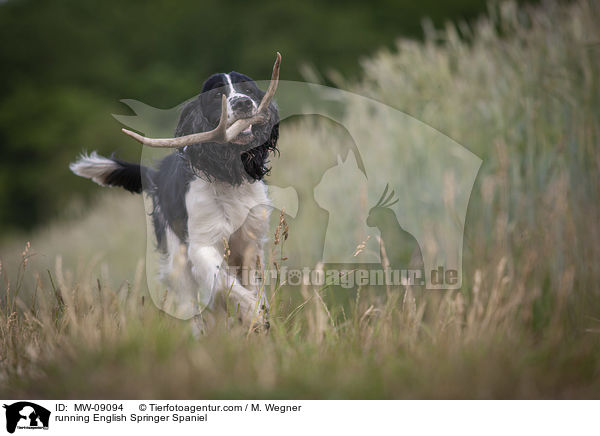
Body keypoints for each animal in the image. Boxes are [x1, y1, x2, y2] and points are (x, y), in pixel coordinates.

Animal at [69, 54, 282, 330]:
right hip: (177, 259)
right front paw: (254, 315)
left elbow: (251, 287)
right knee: (192, 308)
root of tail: (155, 175)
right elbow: (225, 285)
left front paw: (258, 319)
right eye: (217, 95)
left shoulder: (250, 244)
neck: (227, 176)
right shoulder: (200, 246)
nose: (244, 103)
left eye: (248, 89)